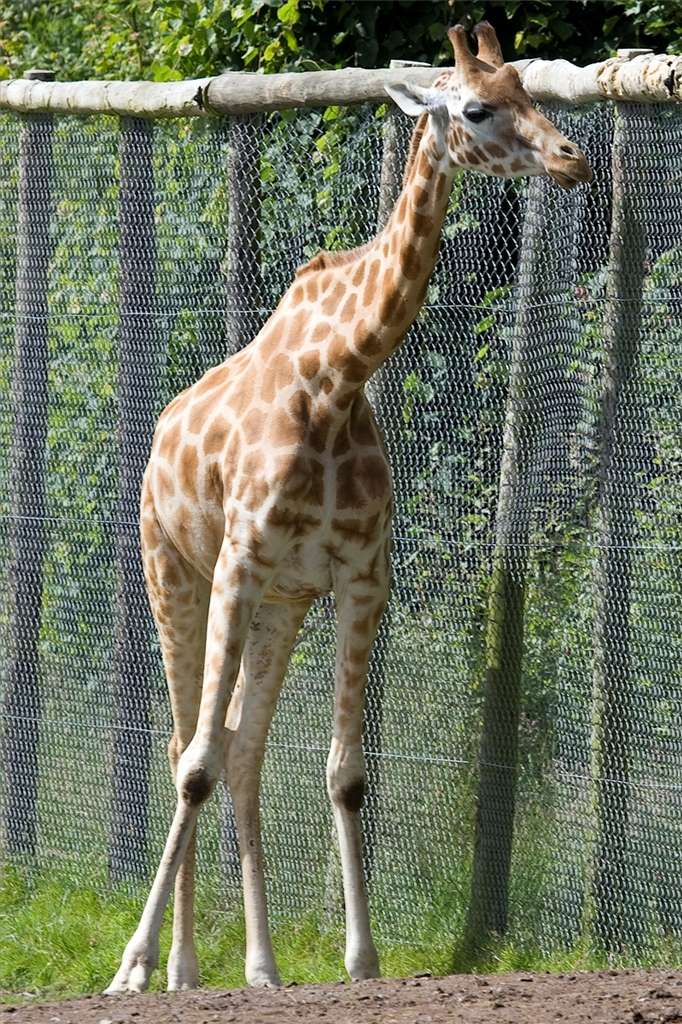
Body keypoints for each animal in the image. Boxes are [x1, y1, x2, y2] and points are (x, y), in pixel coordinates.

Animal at [106, 22, 592, 994]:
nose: (573, 160)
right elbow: (192, 768)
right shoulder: (238, 563)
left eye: (528, 89)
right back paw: (177, 968)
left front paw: (361, 960)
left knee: (243, 752)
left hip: (281, 606)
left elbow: (343, 773)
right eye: (476, 108)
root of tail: (158, 436)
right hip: (174, 573)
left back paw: (258, 967)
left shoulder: (360, 576)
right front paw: (132, 968)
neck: (337, 379)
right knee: (186, 746)